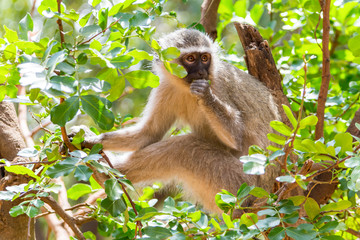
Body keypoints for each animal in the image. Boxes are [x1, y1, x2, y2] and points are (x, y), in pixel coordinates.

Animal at [74, 29, 282, 215]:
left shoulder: (217, 84)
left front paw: (206, 97)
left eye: (204, 58)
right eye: (190, 58)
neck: (185, 88)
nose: (201, 72)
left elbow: (236, 137)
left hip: (240, 188)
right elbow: (149, 134)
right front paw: (91, 139)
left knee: (184, 149)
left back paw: (107, 173)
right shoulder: (165, 87)